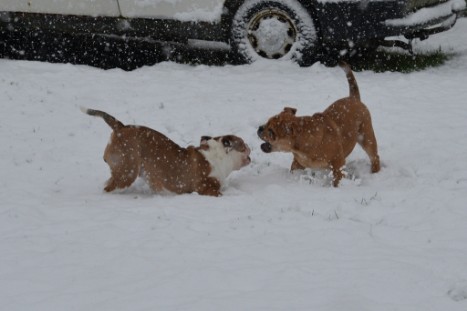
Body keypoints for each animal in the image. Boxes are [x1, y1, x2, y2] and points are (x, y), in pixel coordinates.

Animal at [82, 108, 250, 196]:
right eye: (242, 144)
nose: (249, 147)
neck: (220, 156)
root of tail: (120, 127)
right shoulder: (205, 187)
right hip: (127, 171)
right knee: (109, 187)